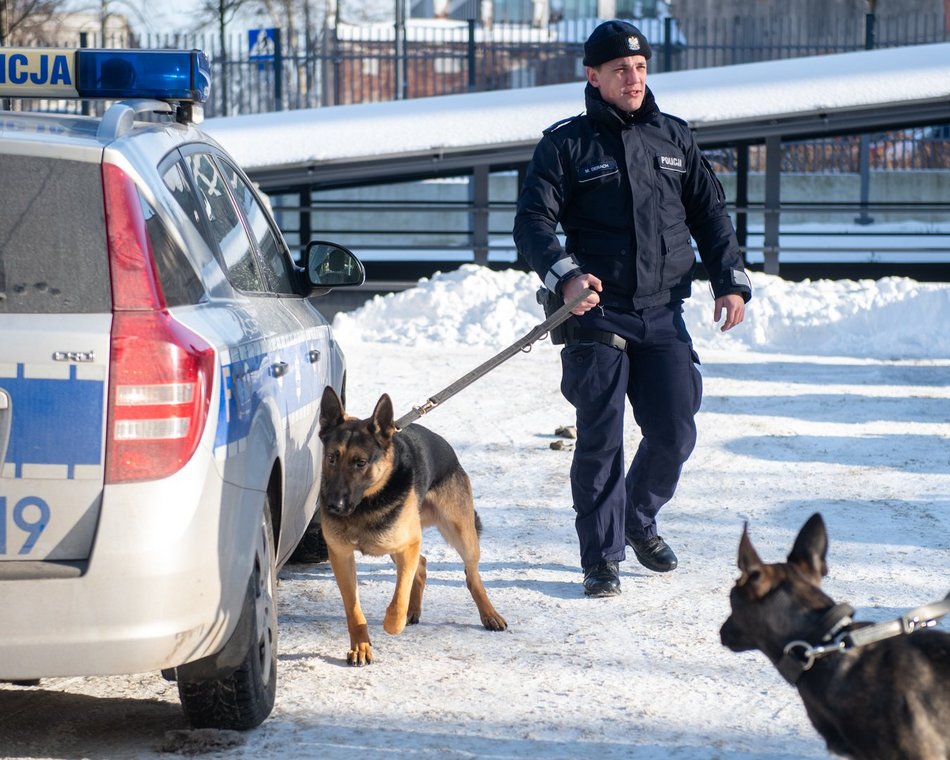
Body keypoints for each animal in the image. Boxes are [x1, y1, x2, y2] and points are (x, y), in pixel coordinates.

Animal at [318, 386, 506, 664]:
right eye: (331, 457)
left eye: (360, 462)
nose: (333, 505)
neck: (366, 504)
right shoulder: (341, 556)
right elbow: (353, 608)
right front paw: (361, 646)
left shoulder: (408, 546)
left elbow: (399, 599)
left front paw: (392, 623)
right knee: (424, 565)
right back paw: (415, 610)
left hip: (460, 535)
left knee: (471, 575)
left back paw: (489, 614)